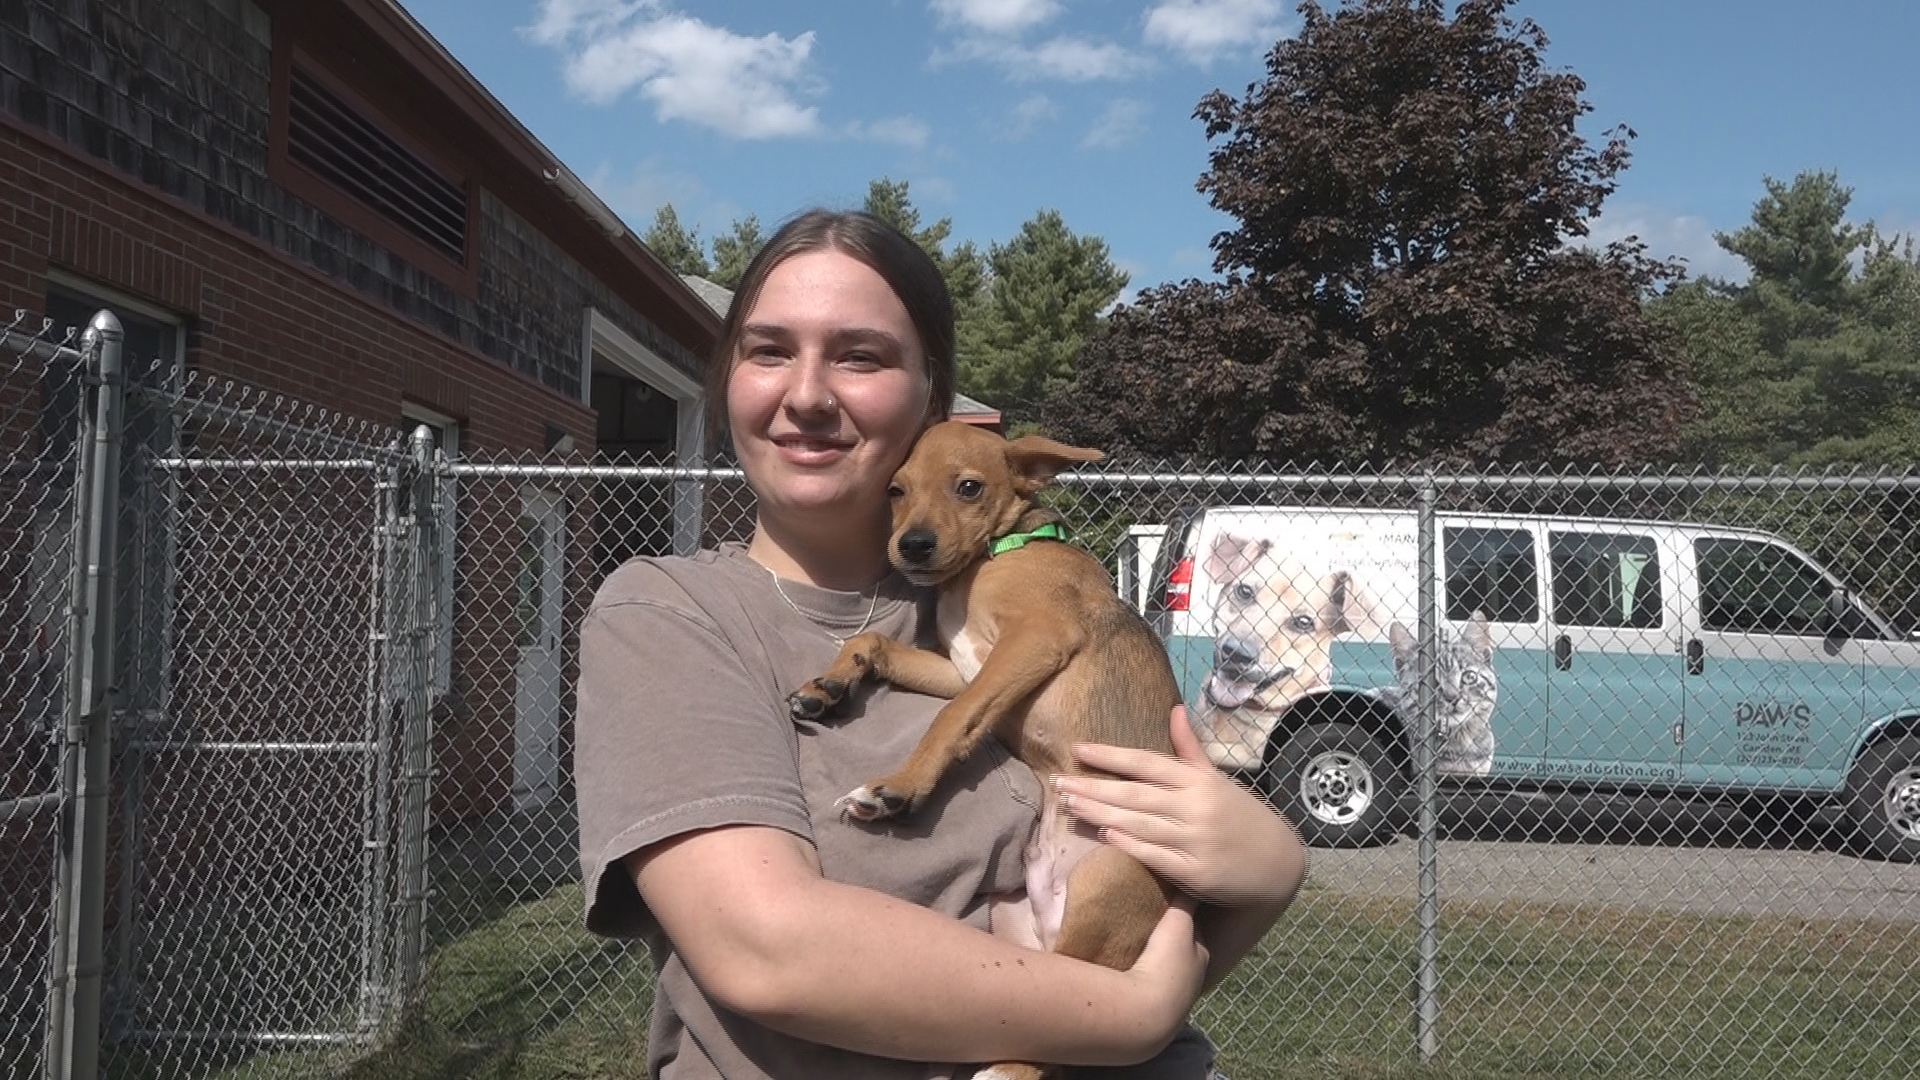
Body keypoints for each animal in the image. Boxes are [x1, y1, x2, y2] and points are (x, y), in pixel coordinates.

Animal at [783, 418, 1175, 1076]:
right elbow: (874, 643)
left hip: (1107, 879)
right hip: (1007, 916)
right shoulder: (960, 669)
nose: (911, 546)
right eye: (895, 490)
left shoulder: (1035, 639)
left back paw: (1007, 1070)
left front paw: (898, 787)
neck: (996, 554)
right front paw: (828, 686)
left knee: (1071, 1012)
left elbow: (953, 719)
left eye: (968, 487)